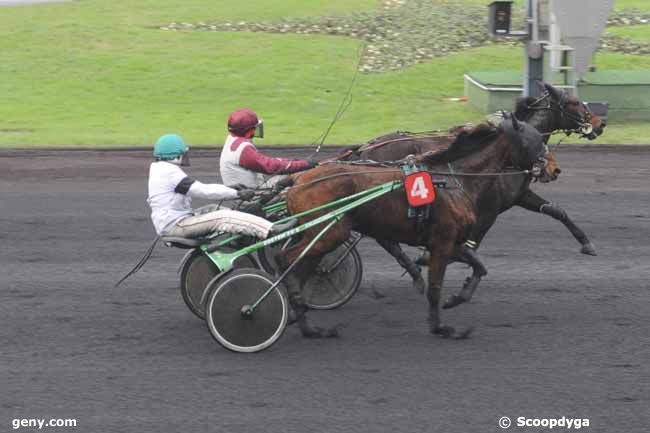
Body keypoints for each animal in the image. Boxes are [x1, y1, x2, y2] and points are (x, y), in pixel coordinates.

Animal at [280, 116, 552, 340]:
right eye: (538, 140)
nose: (552, 167)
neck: (456, 179)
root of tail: (298, 180)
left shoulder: (451, 241)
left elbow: (480, 267)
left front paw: (457, 298)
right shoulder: (443, 241)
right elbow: (435, 287)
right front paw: (440, 327)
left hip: (320, 236)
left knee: (299, 268)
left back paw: (305, 322)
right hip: (330, 232)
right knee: (287, 260)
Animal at [334, 82, 604, 308]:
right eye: (573, 102)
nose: (600, 123)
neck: (501, 156)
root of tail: (364, 149)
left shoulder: (518, 196)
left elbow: (557, 211)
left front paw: (587, 244)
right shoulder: (489, 207)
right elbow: (472, 243)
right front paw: (433, 259)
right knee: (386, 239)